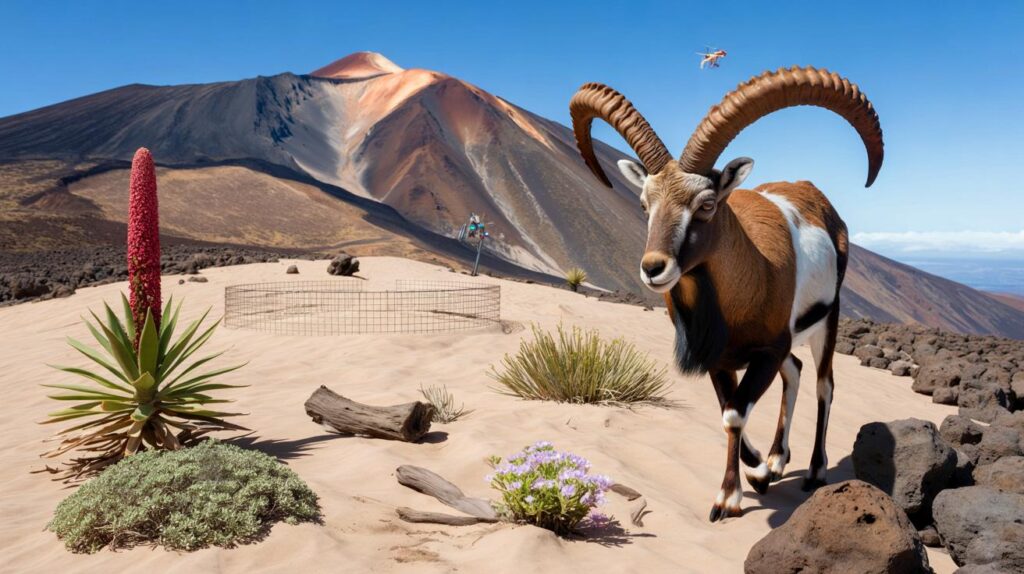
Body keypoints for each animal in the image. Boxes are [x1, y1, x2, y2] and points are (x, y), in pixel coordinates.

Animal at [569, 66, 884, 521]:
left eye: (706, 203)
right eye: (645, 204)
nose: (654, 268)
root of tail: (817, 198)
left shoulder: (767, 351)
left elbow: (735, 414)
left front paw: (729, 497)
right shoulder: (720, 359)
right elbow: (727, 410)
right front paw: (755, 474)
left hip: (827, 320)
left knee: (824, 384)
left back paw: (814, 472)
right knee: (794, 371)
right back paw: (777, 459)